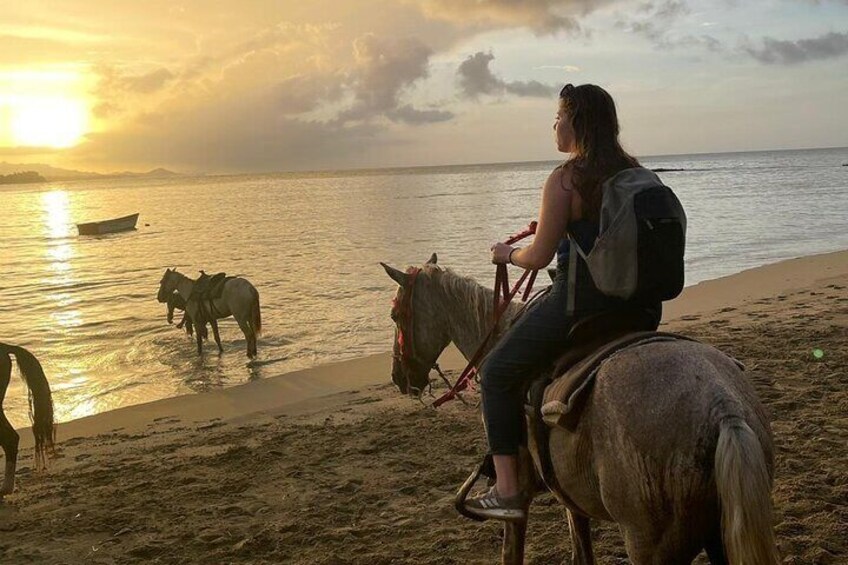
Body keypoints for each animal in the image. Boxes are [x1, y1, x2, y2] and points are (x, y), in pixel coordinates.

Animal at [380, 256, 780, 564]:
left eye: (395, 315)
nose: (398, 376)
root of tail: (723, 408)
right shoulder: (570, 497)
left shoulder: (519, 500)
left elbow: (512, 552)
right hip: (718, 534)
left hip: (651, 546)